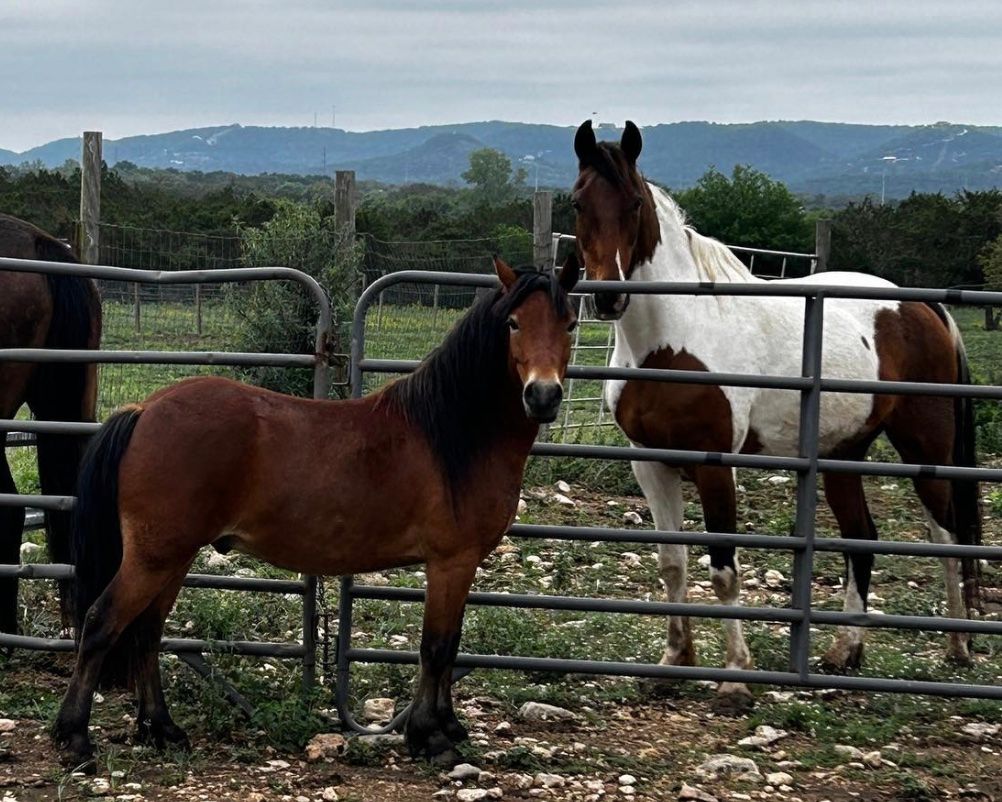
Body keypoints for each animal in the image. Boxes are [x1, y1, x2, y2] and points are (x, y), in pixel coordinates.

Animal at [52, 255, 580, 767]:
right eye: (512, 323)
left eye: (570, 323)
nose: (543, 395)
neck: (453, 434)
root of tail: (145, 410)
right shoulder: (451, 562)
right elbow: (436, 647)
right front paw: (432, 738)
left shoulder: (461, 565)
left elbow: (450, 647)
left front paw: (447, 727)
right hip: (154, 557)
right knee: (101, 623)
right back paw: (75, 738)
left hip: (172, 557)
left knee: (146, 632)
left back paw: (161, 729)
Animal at [569, 120, 981, 709]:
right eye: (579, 202)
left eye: (633, 203)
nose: (607, 297)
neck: (673, 338)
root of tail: (920, 304)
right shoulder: (648, 462)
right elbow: (672, 562)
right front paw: (672, 662)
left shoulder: (714, 465)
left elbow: (724, 569)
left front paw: (734, 677)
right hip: (842, 455)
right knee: (862, 537)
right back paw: (843, 653)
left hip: (925, 446)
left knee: (945, 536)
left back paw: (958, 646)